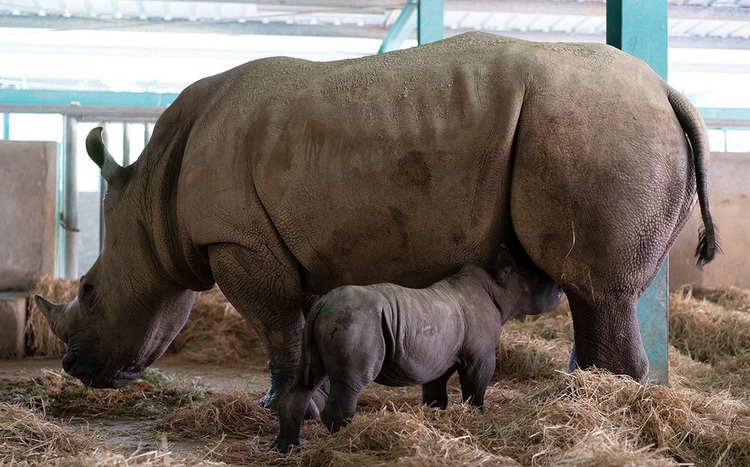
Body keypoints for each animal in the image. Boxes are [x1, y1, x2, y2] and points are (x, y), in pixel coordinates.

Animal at [36, 32, 717, 409]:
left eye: (89, 291)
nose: (74, 370)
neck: (153, 201)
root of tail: (667, 91)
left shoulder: (237, 240)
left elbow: (277, 329)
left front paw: (274, 403)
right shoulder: (281, 245)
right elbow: (299, 325)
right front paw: (303, 396)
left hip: (598, 127)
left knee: (599, 290)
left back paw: (595, 402)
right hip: (609, 124)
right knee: (593, 294)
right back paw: (583, 395)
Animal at [273, 247, 562, 452]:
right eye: (534, 280)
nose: (559, 290)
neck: (496, 286)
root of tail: (321, 306)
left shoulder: (438, 358)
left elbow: (436, 394)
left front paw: (436, 421)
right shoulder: (480, 357)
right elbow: (475, 390)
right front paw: (477, 419)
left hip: (330, 320)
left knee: (308, 381)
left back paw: (287, 448)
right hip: (354, 321)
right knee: (351, 382)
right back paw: (346, 443)